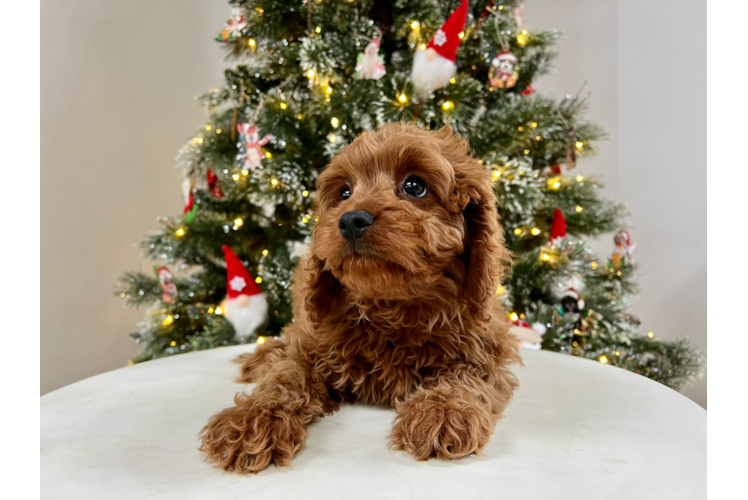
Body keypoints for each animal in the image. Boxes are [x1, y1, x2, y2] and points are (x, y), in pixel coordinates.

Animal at [197, 124, 520, 472]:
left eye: (415, 186)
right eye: (344, 193)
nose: (351, 220)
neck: (392, 305)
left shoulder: (484, 348)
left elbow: (466, 375)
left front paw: (443, 410)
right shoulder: (314, 341)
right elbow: (286, 373)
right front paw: (253, 417)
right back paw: (262, 357)